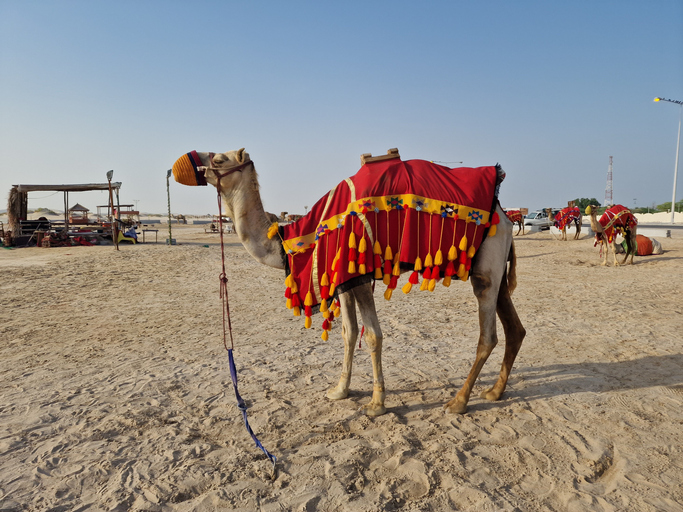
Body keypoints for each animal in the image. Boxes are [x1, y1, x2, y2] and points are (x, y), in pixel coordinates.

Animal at [175, 148, 525, 416]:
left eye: (218, 159)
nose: (187, 162)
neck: (291, 241)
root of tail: (505, 214)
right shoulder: (341, 277)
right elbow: (348, 332)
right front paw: (340, 390)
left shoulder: (356, 274)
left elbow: (372, 336)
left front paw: (376, 403)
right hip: (496, 269)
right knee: (515, 329)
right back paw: (494, 392)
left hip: (485, 270)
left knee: (488, 336)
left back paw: (458, 401)